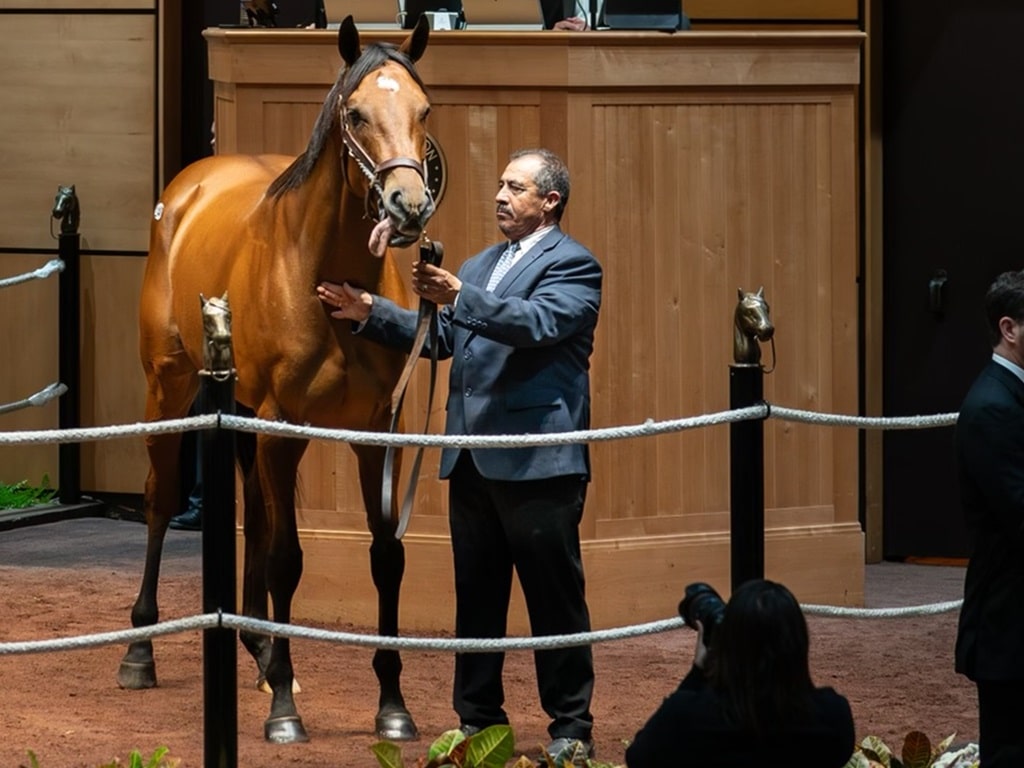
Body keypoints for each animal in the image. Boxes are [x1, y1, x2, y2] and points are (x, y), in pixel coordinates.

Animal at [120, 16, 436, 745]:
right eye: (356, 113)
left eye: (423, 111)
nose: (408, 206)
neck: (323, 276)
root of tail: (190, 184)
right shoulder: (283, 430)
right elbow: (289, 559)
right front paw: (285, 712)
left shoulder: (375, 436)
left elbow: (386, 557)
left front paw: (392, 706)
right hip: (170, 390)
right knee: (160, 499)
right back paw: (142, 647)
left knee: (256, 524)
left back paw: (262, 650)